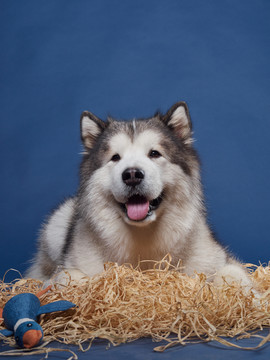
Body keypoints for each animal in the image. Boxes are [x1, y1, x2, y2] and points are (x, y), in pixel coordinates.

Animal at [25, 102, 253, 288]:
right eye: (115, 158)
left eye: (154, 153)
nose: (132, 175)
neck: (143, 236)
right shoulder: (67, 269)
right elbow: (71, 278)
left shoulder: (219, 259)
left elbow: (231, 273)